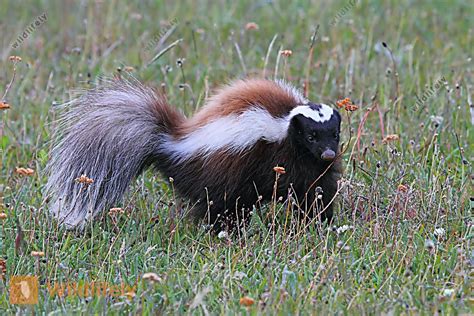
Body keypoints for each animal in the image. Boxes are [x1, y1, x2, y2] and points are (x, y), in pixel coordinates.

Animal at [46, 78, 342, 231]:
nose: (328, 153)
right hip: (224, 174)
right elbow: (300, 185)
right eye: (311, 136)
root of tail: (172, 141)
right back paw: (227, 232)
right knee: (221, 206)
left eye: (334, 134)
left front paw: (320, 222)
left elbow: (317, 190)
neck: (286, 124)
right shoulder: (277, 155)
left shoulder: (313, 166)